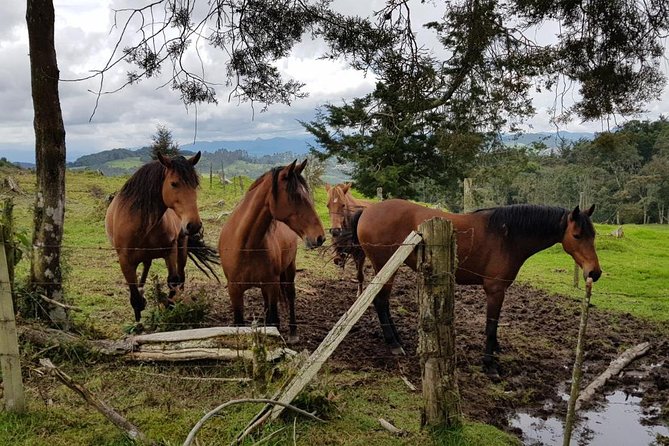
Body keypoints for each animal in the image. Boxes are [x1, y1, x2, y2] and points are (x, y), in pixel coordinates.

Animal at [104, 152, 218, 322]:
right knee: (146, 269)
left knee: (180, 276)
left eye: (195, 184)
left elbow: (173, 280)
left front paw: (171, 309)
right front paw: (138, 319)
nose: (194, 225)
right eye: (174, 184)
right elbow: (134, 295)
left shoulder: (170, 251)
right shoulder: (125, 261)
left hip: (181, 247)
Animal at [218, 160, 324, 342]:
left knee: (290, 295)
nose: (320, 237)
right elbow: (240, 322)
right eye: (296, 196)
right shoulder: (234, 290)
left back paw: (293, 332)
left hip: (289, 269)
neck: (246, 246)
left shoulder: (271, 285)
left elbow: (273, 320)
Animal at [350, 200, 600, 378]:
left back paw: (398, 339)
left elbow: (494, 326)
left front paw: (496, 350)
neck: (508, 236)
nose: (594, 272)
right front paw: (489, 365)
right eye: (577, 235)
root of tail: (368, 210)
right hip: (385, 267)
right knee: (380, 302)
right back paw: (393, 344)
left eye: (593, 235)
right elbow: (490, 326)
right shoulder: (495, 290)